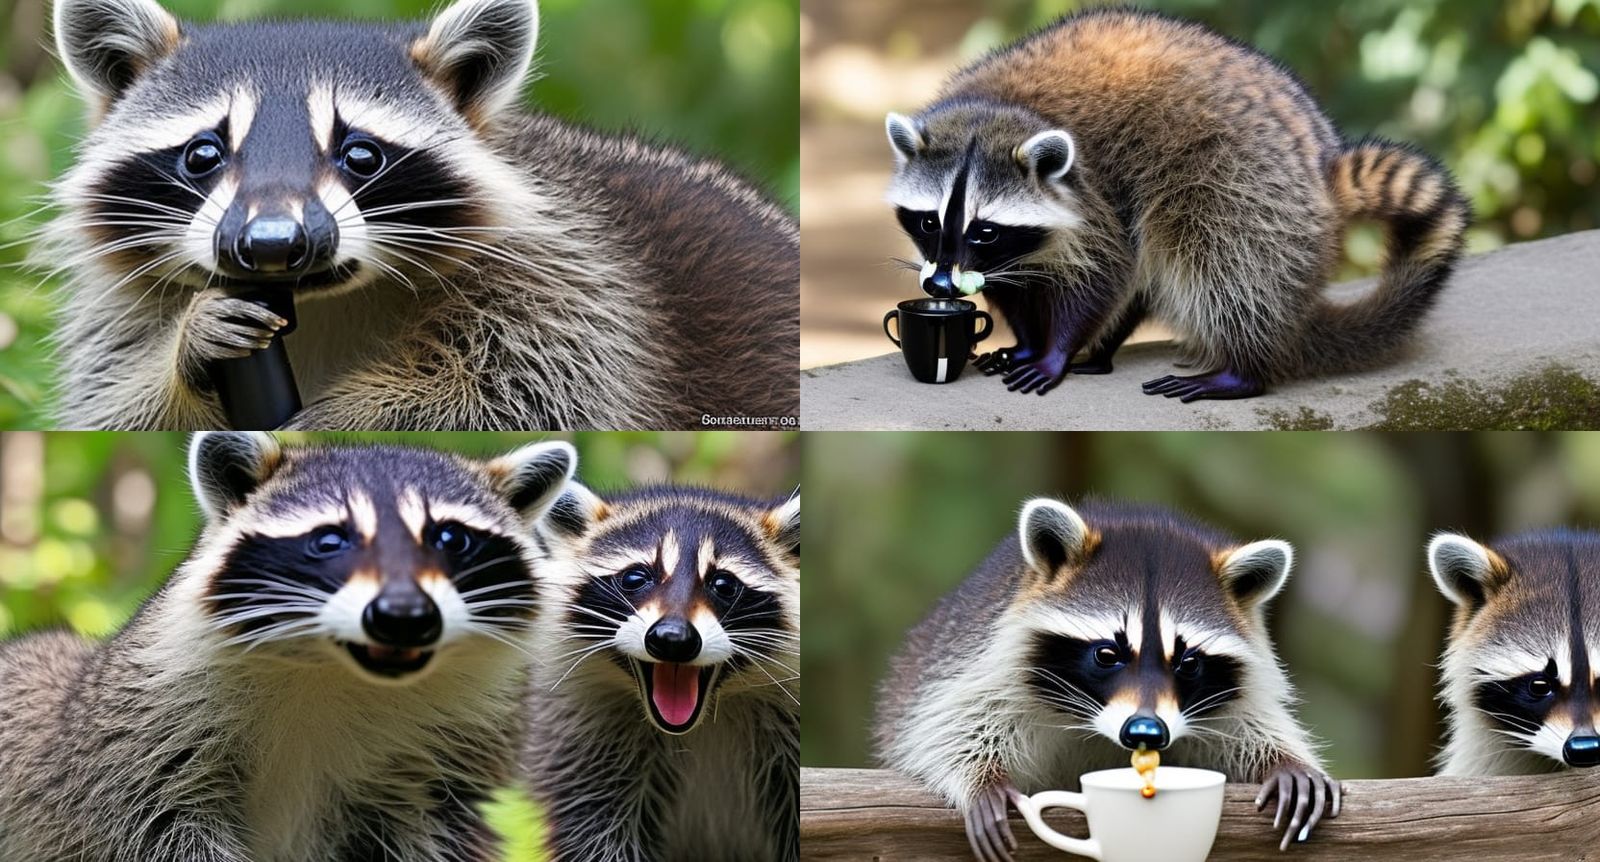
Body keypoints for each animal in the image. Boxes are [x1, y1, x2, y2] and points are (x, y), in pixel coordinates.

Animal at [0, 432, 576, 862]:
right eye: (330, 540)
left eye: (450, 539)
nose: (403, 617)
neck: (335, 669)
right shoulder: (139, 731)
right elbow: (147, 822)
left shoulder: (450, 758)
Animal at [44, 0, 797, 430]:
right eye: (204, 153)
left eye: (360, 154)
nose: (273, 244)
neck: (319, 303)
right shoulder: (123, 306)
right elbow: (114, 405)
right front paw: (187, 351)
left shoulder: (574, 283)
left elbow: (529, 393)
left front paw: (362, 411)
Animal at [522, 484, 801, 861]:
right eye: (635, 577)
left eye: (724, 584)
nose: (673, 639)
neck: (708, 714)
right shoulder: (580, 733)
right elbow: (593, 828)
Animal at [875, 498, 1338, 859]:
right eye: (1106, 655)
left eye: (1188, 663)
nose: (1146, 732)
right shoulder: (975, 661)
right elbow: (950, 726)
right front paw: (980, 779)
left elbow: (1248, 727)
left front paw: (1284, 760)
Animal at [884, 8, 1469, 400]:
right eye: (929, 221)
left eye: (984, 229)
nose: (940, 287)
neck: (992, 113)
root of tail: (1319, 166)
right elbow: (1016, 286)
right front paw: (1029, 341)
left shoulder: (1094, 189)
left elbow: (1104, 271)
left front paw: (1055, 352)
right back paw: (1104, 351)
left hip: (1243, 179)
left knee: (1223, 262)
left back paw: (1242, 368)